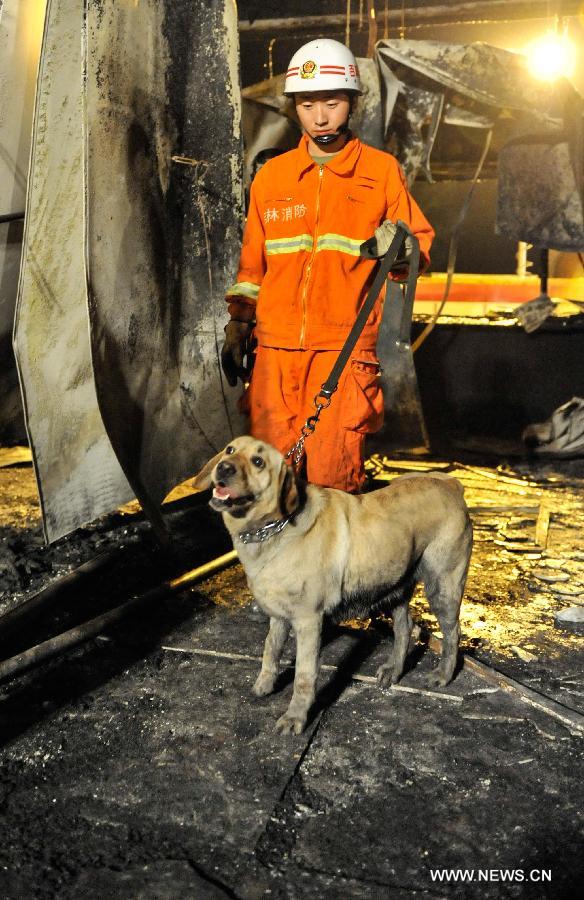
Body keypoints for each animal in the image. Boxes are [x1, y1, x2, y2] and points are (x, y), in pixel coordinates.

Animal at [194, 434, 472, 732]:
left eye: (258, 461)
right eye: (230, 450)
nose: (223, 468)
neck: (274, 530)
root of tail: (452, 486)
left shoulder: (308, 621)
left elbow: (304, 675)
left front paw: (296, 717)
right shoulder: (279, 617)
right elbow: (271, 649)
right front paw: (265, 683)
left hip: (442, 587)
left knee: (453, 633)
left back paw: (443, 674)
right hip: (393, 585)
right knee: (405, 626)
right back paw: (394, 669)